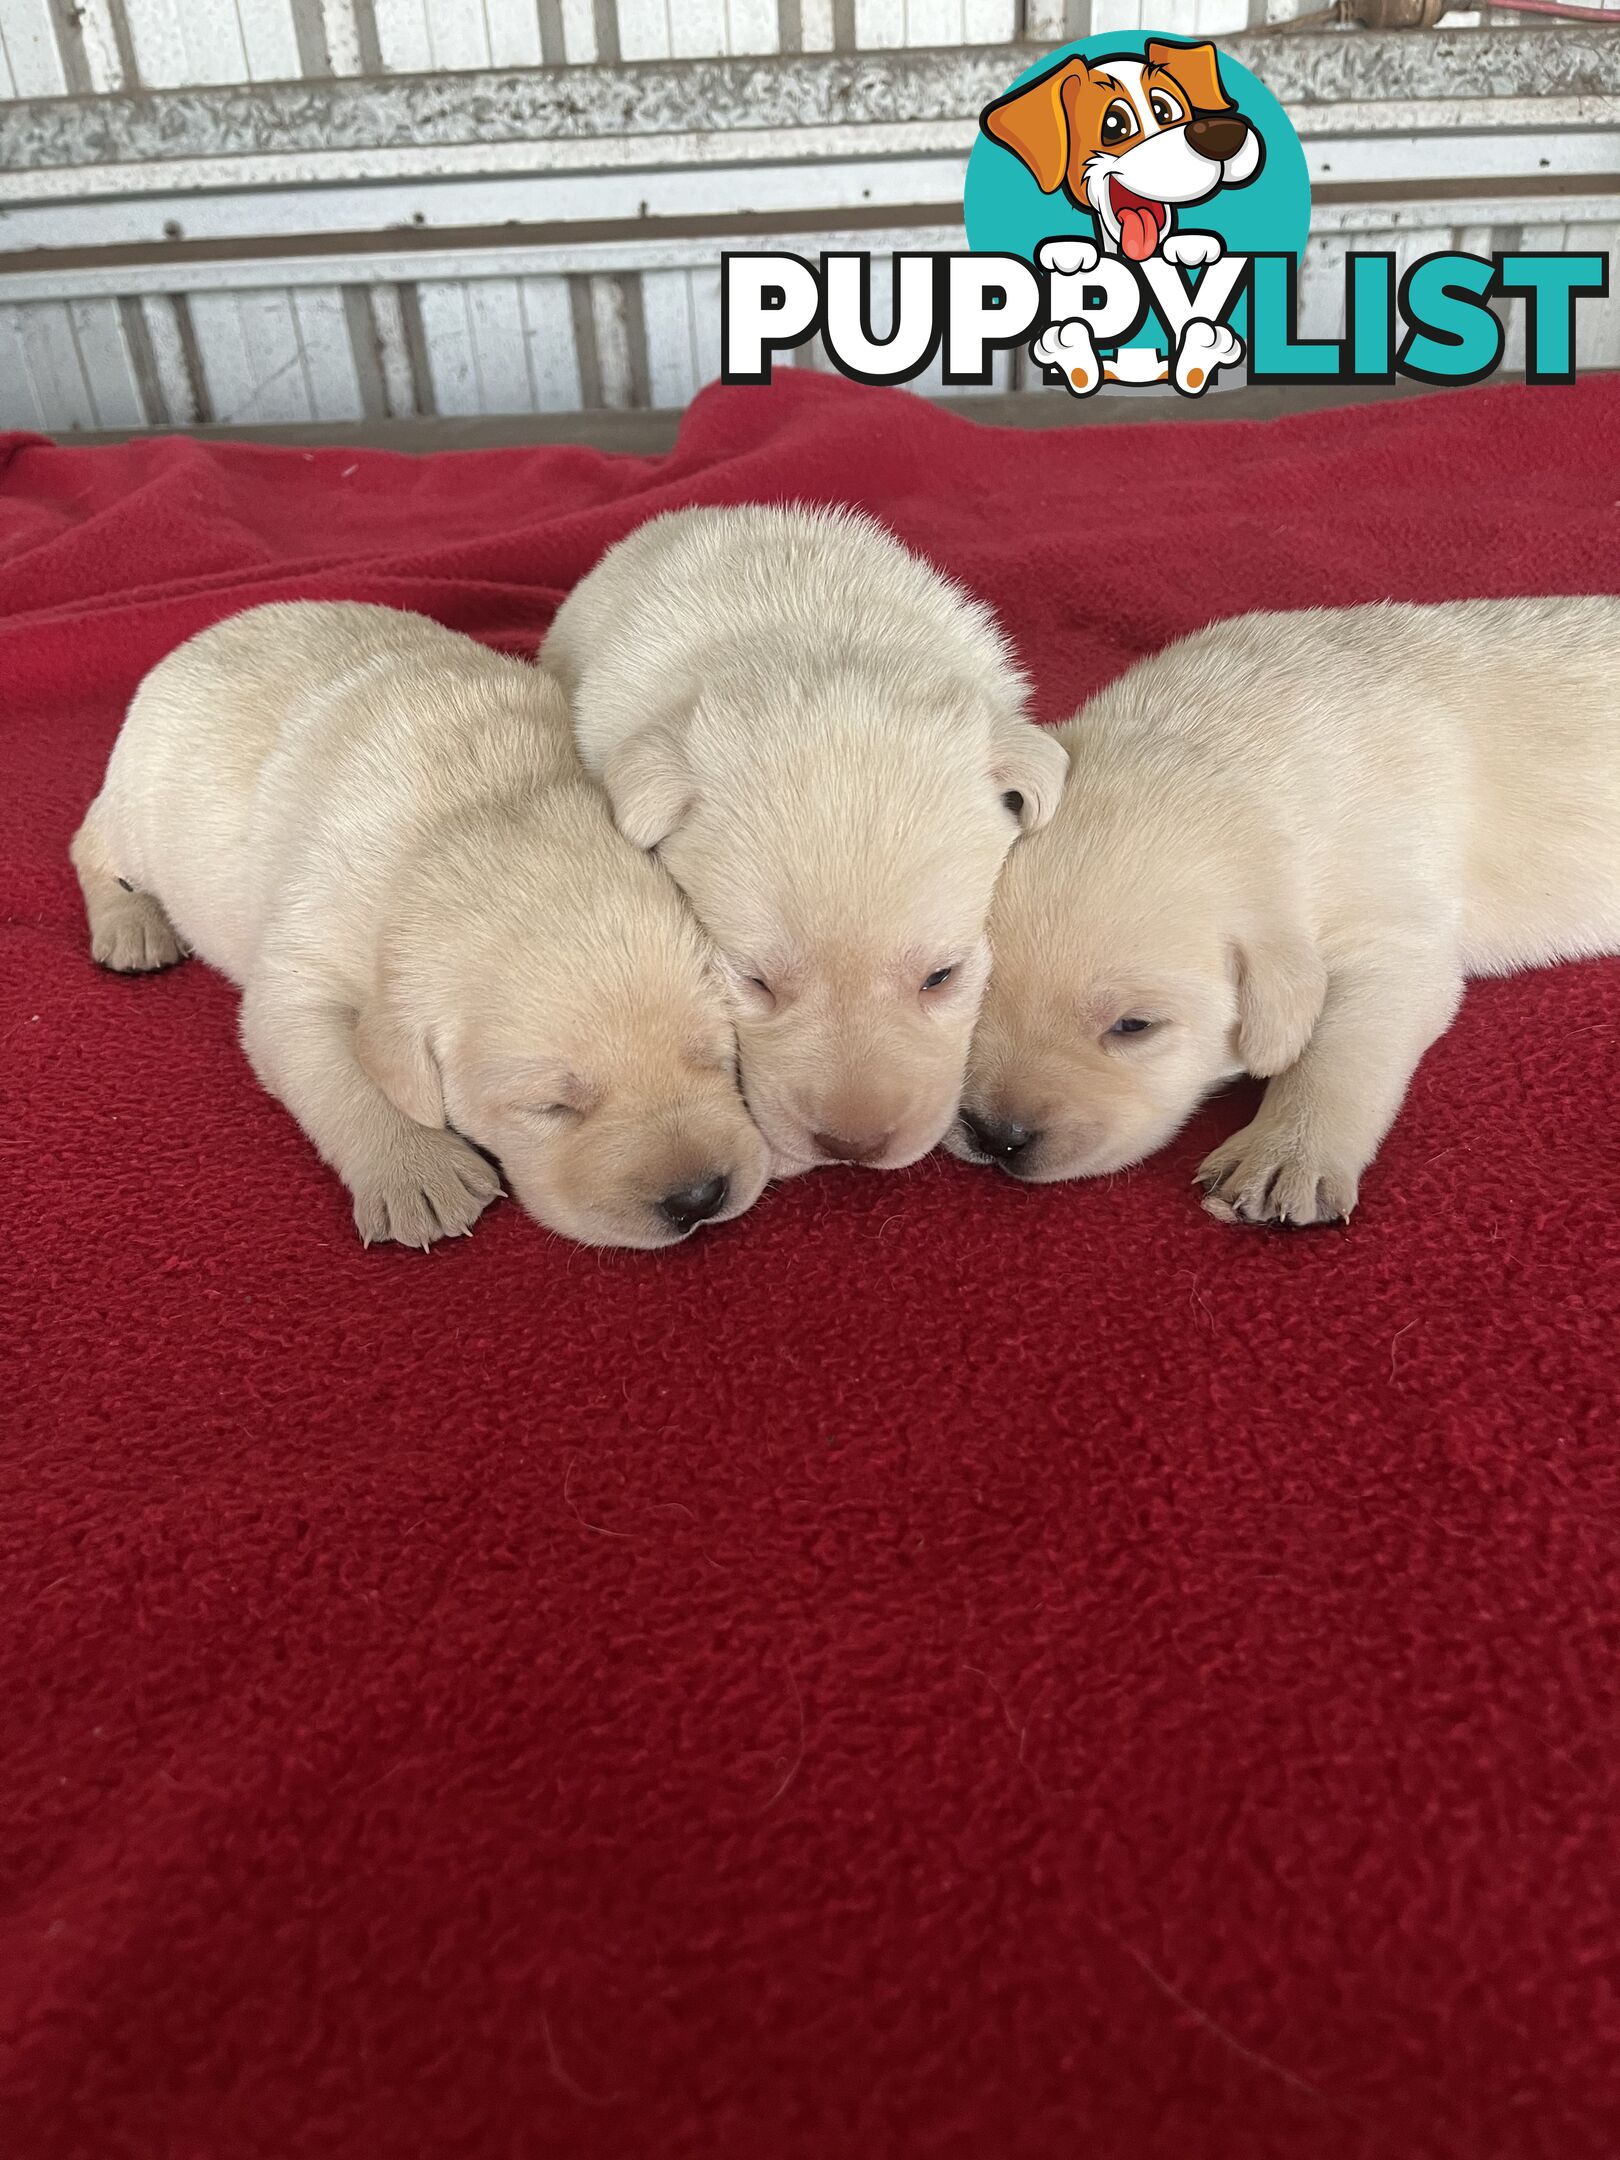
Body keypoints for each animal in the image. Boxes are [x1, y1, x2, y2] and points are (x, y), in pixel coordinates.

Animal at [79, 604, 777, 1252]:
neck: (481, 812)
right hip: (138, 805)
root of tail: (204, 635)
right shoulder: (303, 957)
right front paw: (417, 1172)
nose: (698, 1198)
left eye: (717, 1056)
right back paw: (132, 925)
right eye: (551, 1107)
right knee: (89, 848)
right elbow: (329, 1065)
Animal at [959, 600, 1620, 1226]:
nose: (996, 1136)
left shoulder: (1390, 931)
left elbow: (1342, 1042)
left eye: (1134, 1026)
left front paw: (1284, 1154)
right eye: (967, 990)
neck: (1218, 754)